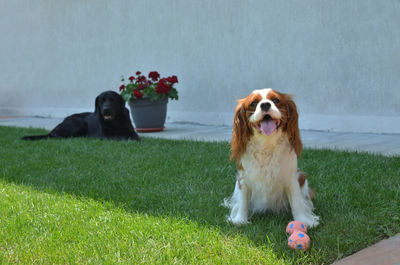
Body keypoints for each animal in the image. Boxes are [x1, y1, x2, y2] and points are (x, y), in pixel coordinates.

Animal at [225, 87, 318, 226]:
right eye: (253, 103)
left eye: (276, 100)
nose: (265, 104)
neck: (266, 143)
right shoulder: (243, 178)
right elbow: (242, 201)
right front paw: (240, 220)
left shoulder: (292, 178)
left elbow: (296, 201)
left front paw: (303, 220)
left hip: (301, 176)